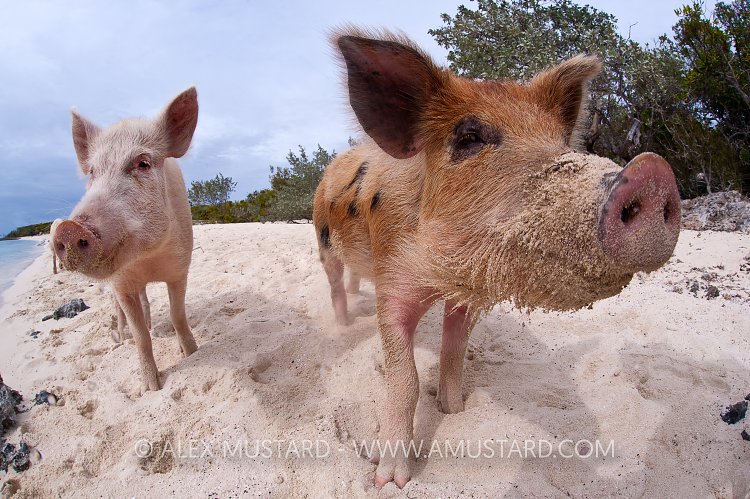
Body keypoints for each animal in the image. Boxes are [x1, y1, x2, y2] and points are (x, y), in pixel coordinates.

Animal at [52, 88, 199, 393]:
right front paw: (150, 389)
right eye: (92, 172)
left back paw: (154, 325)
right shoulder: (121, 283)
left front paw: (192, 353)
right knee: (118, 309)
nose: (69, 229)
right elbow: (140, 336)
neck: (147, 260)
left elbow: (177, 315)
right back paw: (121, 336)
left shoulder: (181, 268)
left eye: (142, 163)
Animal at [313, 29, 681, 488]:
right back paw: (344, 324)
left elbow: (454, 352)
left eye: (561, 141)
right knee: (334, 285)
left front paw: (455, 410)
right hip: (322, 240)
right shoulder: (392, 280)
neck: (443, 279)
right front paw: (391, 481)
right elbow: (404, 378)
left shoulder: (466, 299)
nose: (651, 172)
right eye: (469, 137)